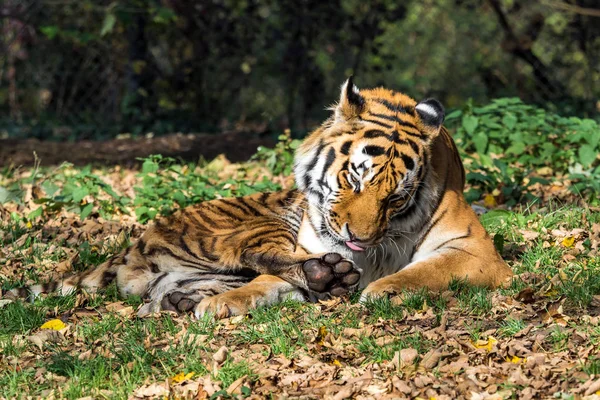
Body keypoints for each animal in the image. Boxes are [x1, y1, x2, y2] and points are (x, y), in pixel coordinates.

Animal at [9, 78, 512, 318]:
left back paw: (181, 302)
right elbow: (270, 280)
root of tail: (133, 244)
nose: (360, 240)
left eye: (395, 198)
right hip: (256, 224)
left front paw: (382, 288)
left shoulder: (474, 250)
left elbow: (425, 270)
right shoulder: (315, 247)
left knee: (162, 294)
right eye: (354, 177)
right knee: (255, 258)